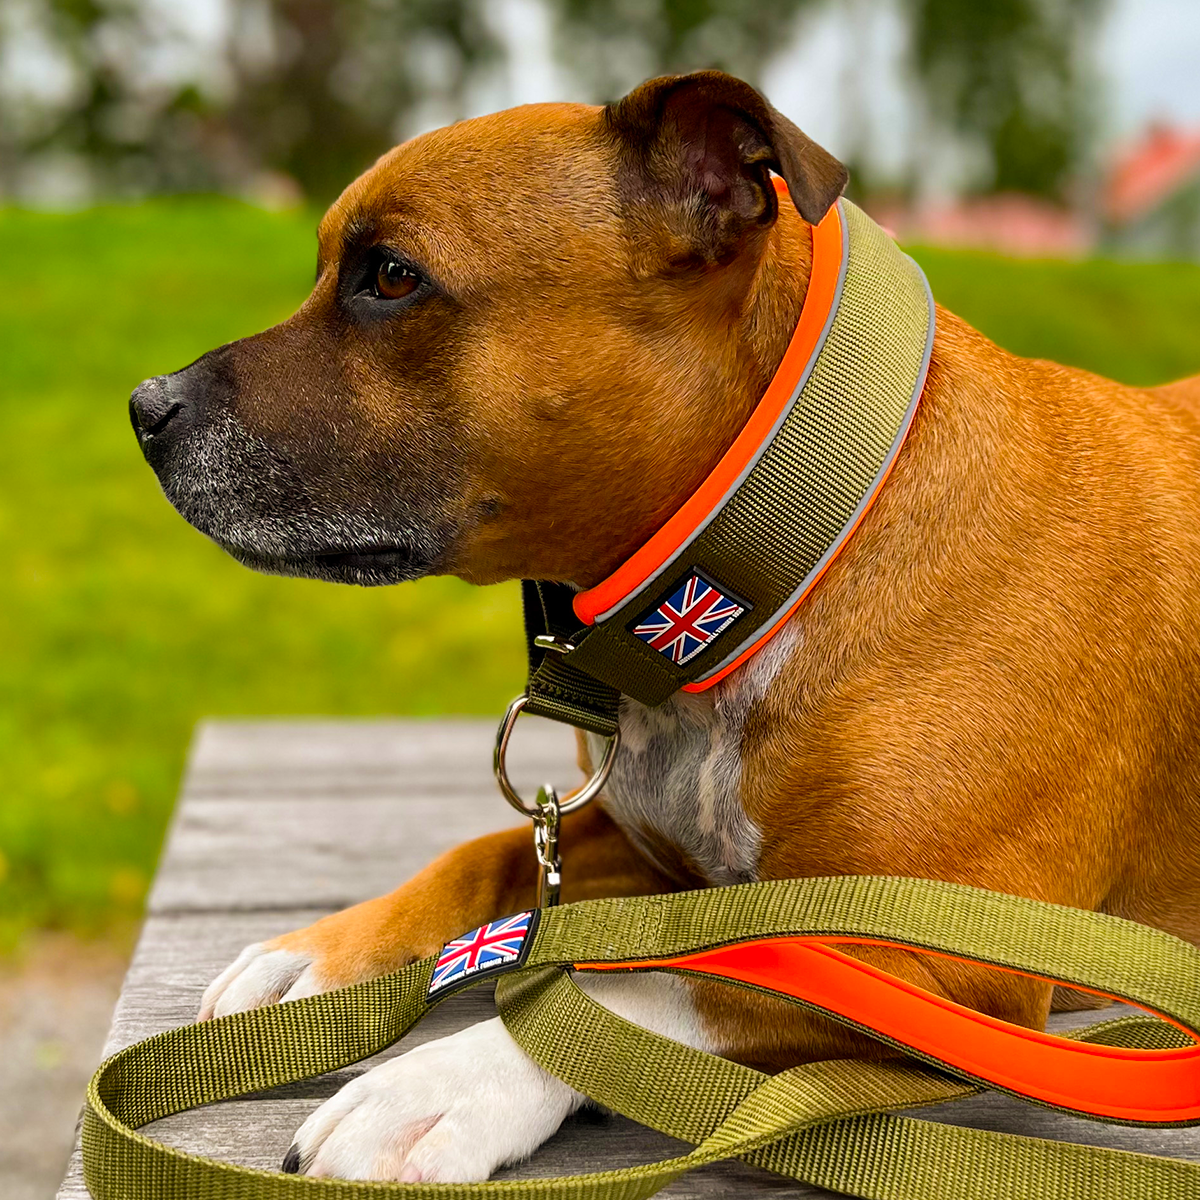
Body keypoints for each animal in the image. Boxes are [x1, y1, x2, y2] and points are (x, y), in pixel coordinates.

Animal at [124, 68, 1200, 1180]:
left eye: (390, 276)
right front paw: (322, 952)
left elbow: (644, 988)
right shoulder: (637, 853)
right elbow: (488, 853)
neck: (783, 561)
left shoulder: (933, 972)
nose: (145, 406)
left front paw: (437, 1085)